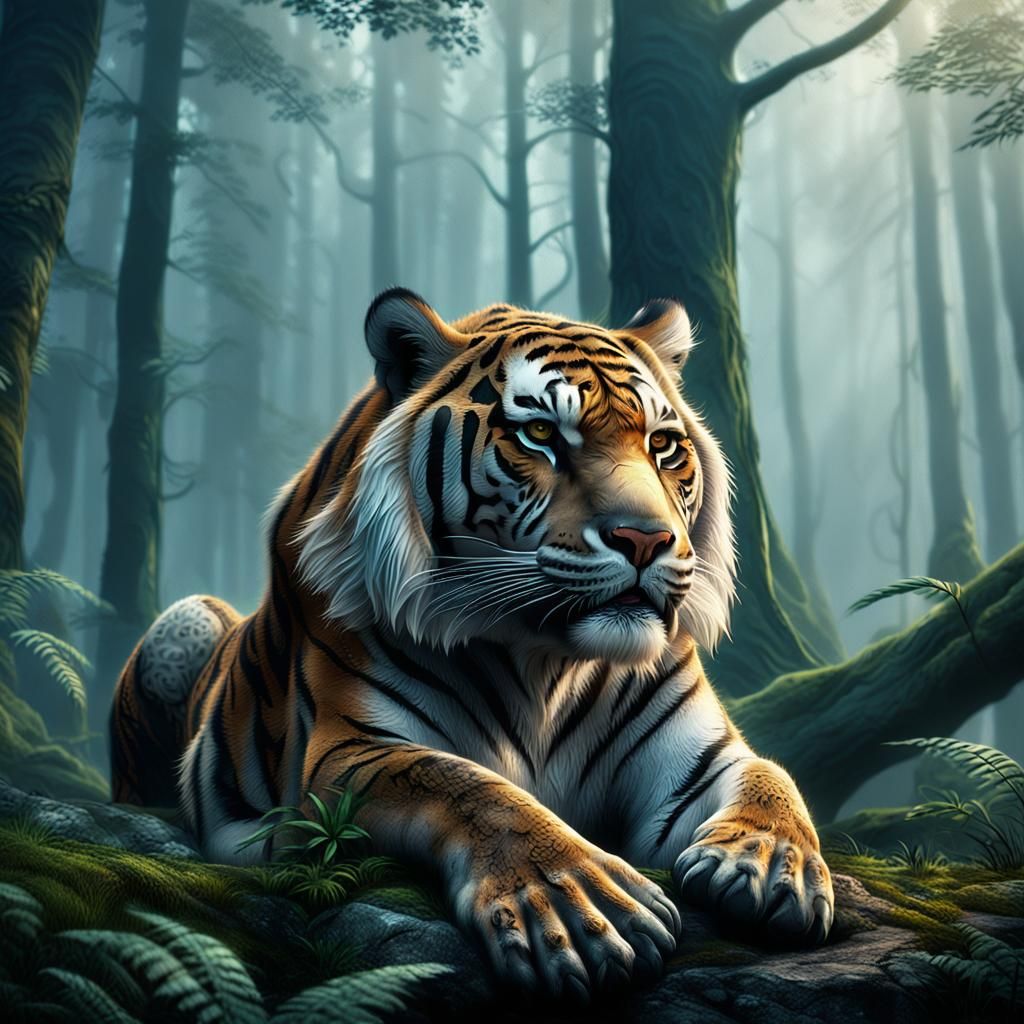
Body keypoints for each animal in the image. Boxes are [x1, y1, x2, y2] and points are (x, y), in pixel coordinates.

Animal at [111, 289, 834, 998]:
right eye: (540, 434)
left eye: (663, 445)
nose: (646, 539)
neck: (548, 661)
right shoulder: (347, 756)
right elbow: (473, 788)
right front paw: (577, 908)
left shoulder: (698, 757)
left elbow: (771, 777)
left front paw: (771, 867)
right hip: (190, 618)